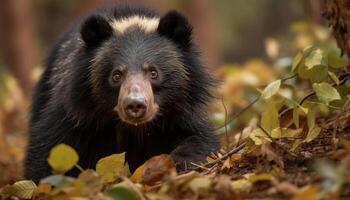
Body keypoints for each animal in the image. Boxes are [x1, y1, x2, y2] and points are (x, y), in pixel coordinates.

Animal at [24, 4, 217, 183]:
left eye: (153, 72)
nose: (135, 104)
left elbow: (200, 139)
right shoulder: (77, 116)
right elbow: (49, 152)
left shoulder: (181, 113)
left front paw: (176, 162)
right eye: (116, 75)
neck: (134, 128)